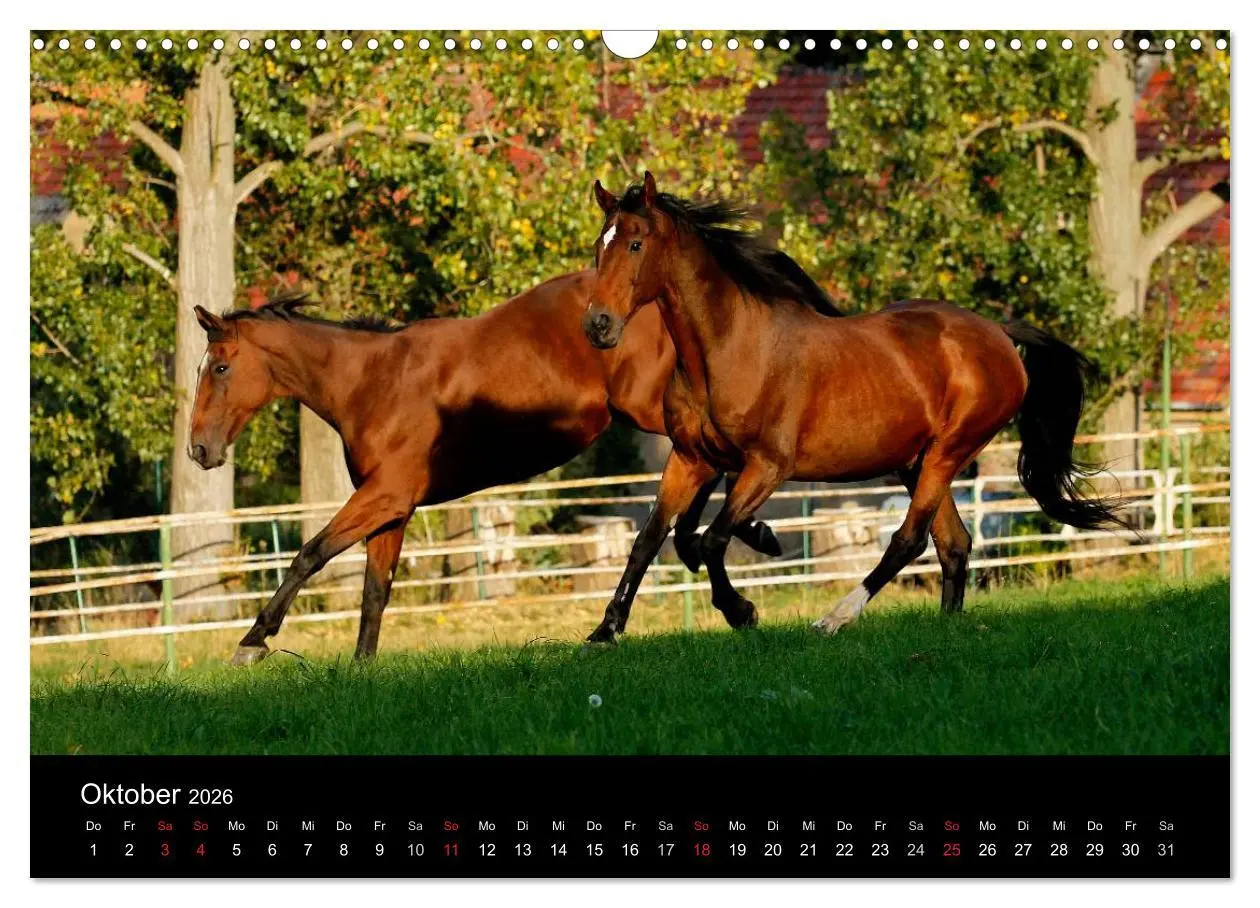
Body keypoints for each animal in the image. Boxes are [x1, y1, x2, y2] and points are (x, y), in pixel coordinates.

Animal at [187, 272, 783, 663]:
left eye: (219, 368)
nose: (198, 450)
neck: (372, 382)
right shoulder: (394, 511)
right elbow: (375, 592)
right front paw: (361, 669)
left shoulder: (383, 497)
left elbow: (309, 555)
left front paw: (253, 641)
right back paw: (731, 553)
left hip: (651, 409)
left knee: (715, 459)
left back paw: (737, 556)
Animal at [579, 172, 1124, 644]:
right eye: (598, 247)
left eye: (635, 244)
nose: (598, 326)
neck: (727, 350)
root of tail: (999, 333)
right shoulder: (691, 459)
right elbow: (652, 539)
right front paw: (605, 630)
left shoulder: (767, 467)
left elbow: (710, 540)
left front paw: (743, 609)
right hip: (916, 462)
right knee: (953, 543)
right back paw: (946, 627)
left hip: (948, 452)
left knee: (910, 539)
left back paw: (835, 618)